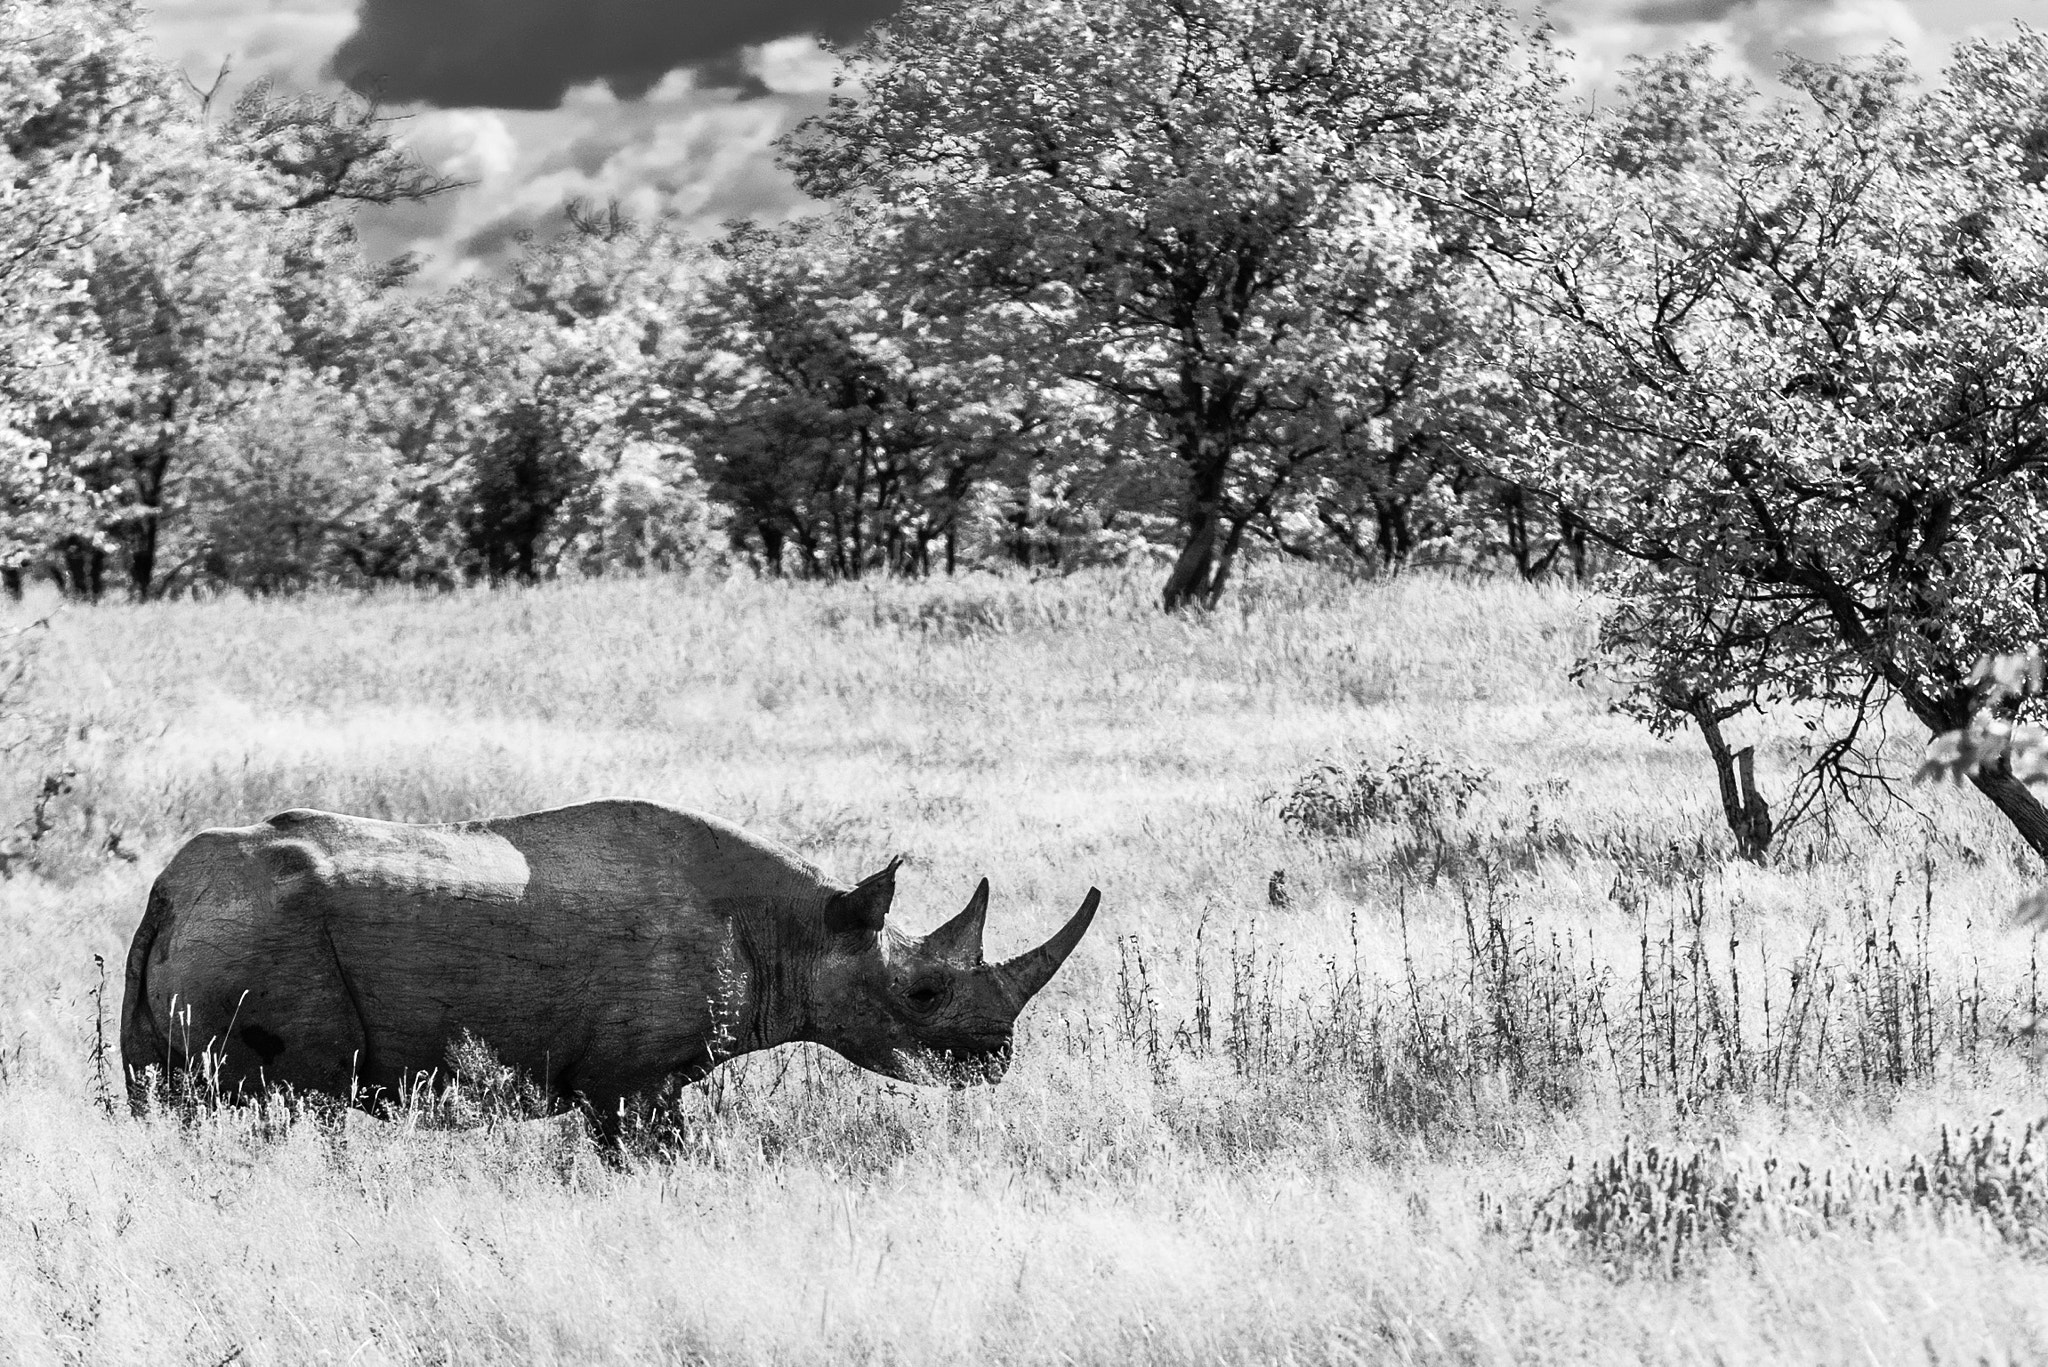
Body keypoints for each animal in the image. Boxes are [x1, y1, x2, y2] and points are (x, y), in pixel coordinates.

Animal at [120, 800, 1099, 1129]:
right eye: (925, 993)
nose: (997, 1060)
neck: (805, 928)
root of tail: (169, 887)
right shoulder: (636, 1077)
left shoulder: (620, 1078)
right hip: (259, 937)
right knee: (280, 1101)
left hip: (210, 925)